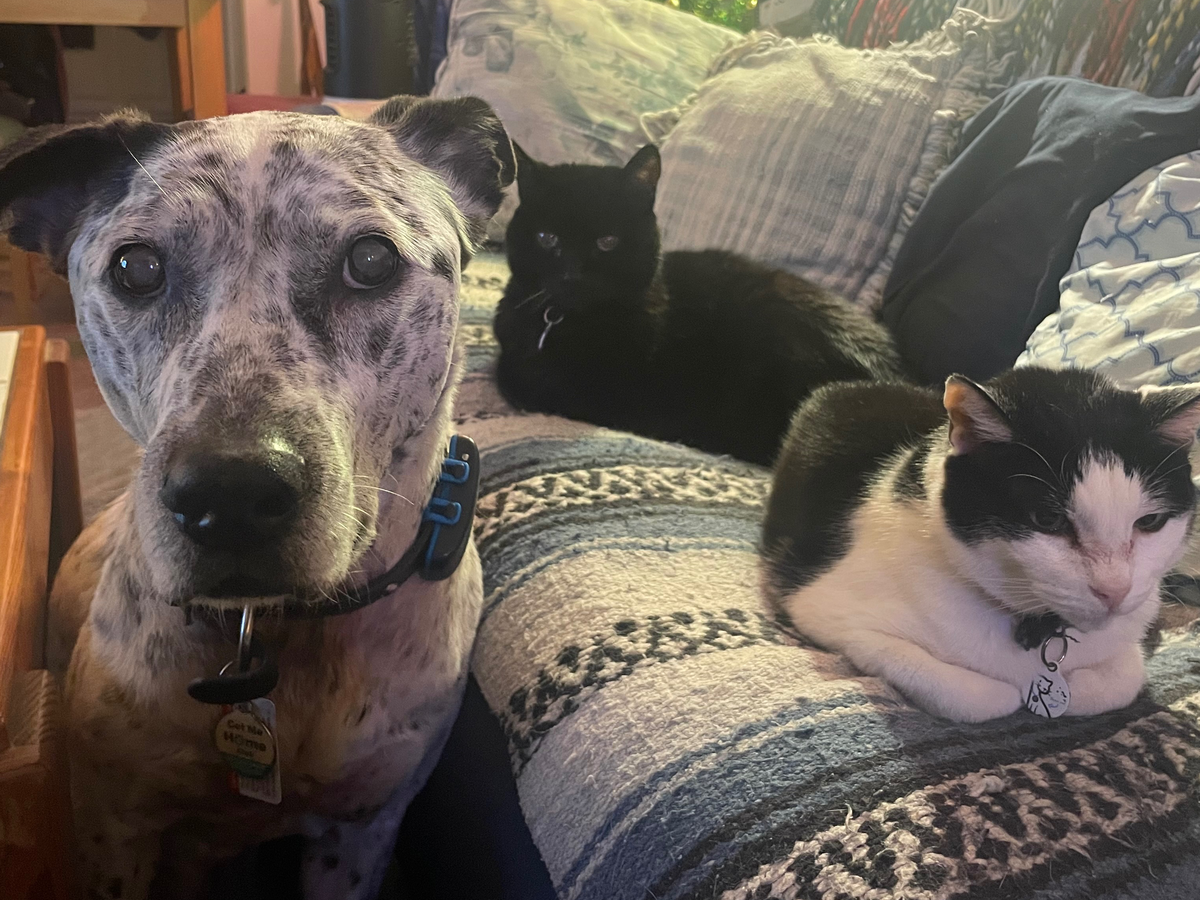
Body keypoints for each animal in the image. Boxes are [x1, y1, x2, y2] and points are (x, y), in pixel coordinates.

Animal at [0, 96, 514, 899]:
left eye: (372, 260)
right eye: (135, 267)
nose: (231, 496)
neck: (278, 635)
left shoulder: (360, 833)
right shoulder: (112, 827)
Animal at [761, 367, 1200, 723]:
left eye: (1150, 522)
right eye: (1048, 520)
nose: (1115, 590)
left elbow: (1126, 676)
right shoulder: (830, 612)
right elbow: (977, 697)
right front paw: (1012, 693)